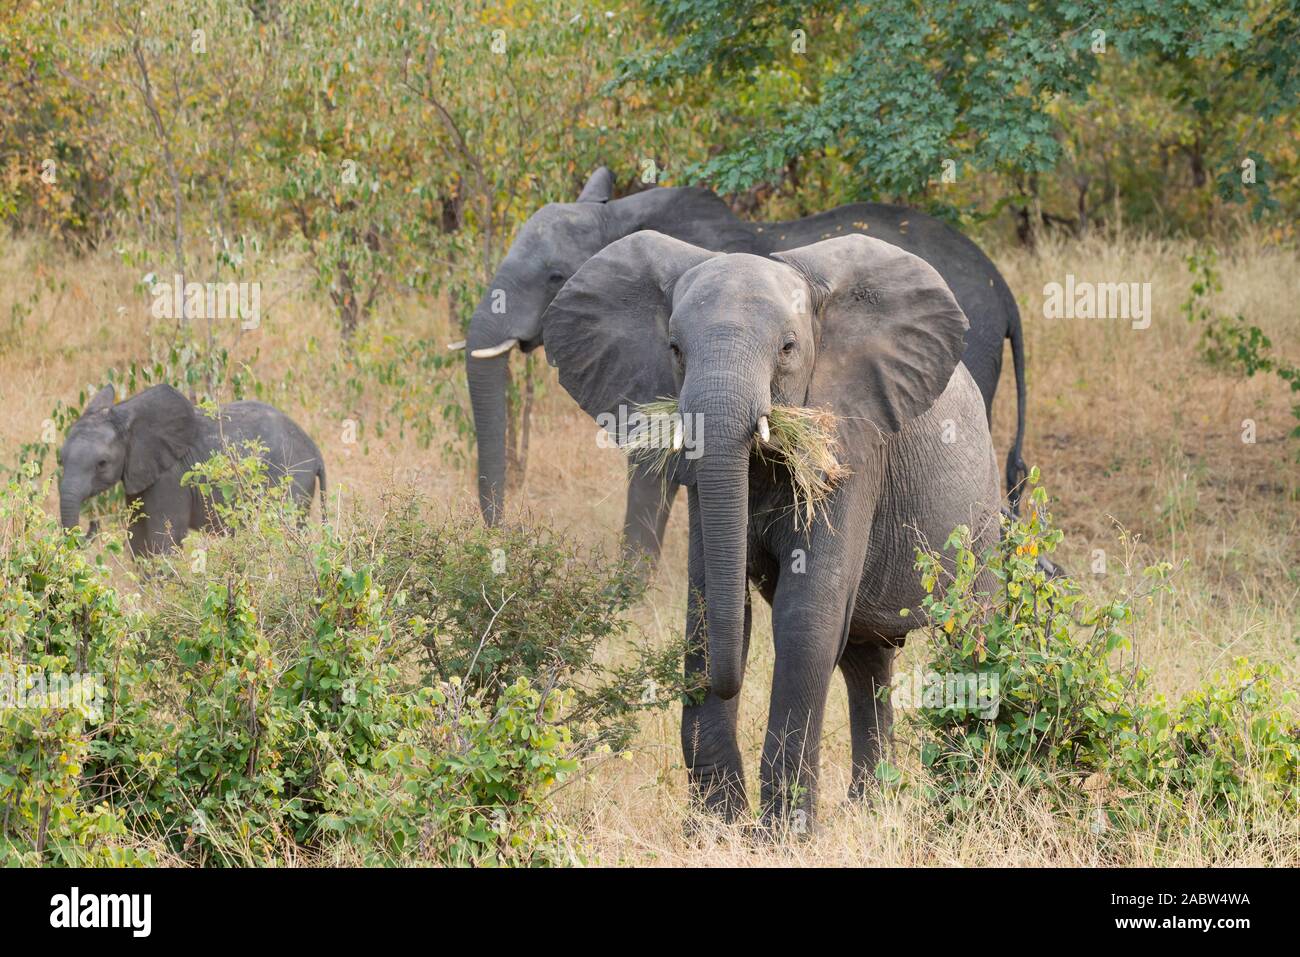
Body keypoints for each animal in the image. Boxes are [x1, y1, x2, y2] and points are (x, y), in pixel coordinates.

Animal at [58, 384, 326, 558]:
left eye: (102, 463)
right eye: (60, 459)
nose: (93, 523)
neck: (126, 414)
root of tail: (315, 449)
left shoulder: (170, 477)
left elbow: (163, 539)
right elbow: (138, 540)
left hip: (291, 481)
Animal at [541, 230, 1002, 828]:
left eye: (787, 348)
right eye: (674, 350)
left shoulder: (852, 446)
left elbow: (805, 617)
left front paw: (782, 835)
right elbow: (710, 605)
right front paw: (715, 828)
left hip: (983, 513)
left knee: (972, 634)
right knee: (866, 662)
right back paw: (868, 809)